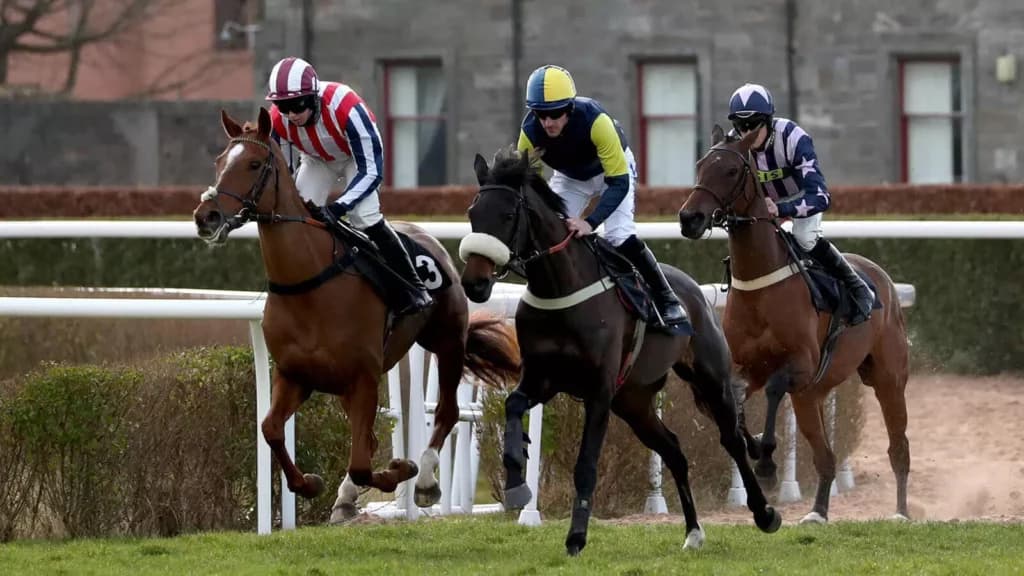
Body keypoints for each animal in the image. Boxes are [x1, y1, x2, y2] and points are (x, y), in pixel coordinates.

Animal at [193, 108, 520, 523]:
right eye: (219, 162)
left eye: (253, 164)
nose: (206, 216)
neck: (309, 284)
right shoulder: (295, 375)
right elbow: (271, 430)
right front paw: (310, 484)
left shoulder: (364, 377)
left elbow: (364, 463)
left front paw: (403, 469)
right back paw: (347, 497)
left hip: (447, 341)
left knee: (446, 410)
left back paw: (425, 480)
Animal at [459, 147, 781, 555]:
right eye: (472, 214)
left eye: (507, 215)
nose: (475, 283)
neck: (559, 289)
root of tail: (694, 289)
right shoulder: (543, 378)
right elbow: (513, 404)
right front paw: (516, 479)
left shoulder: (598, 391)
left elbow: (586, 465)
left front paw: (576, 536)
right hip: (633, 401)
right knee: (674, 451)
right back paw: (693, 532)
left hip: (710, 379)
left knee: (733, 440)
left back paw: (764, 514)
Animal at [677, 125, 911, 523]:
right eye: (700, 165)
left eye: (730, 170)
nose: (689, 218)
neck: (760, 288)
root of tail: (882, 279)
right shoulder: (747, 367)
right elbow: (735, 399)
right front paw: (755, 447)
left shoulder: (800, 364)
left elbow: (774, 390)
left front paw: (767, 462)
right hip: (812, 394)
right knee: (826, 457)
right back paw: (817, 512)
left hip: (888, 379)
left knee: (899, 449)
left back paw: (901, 512)